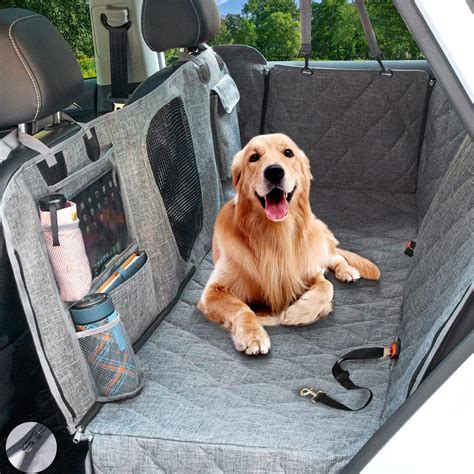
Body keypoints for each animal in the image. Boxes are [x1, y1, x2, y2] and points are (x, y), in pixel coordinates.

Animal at [198, 133, 380, 356]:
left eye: (288, 153)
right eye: (254, 157)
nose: (274, 172)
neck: (275, 235)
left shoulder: (311, 271)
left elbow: (326, 287)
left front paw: (298, 313)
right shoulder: (212, 291)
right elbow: (241, 308)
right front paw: (252, 335)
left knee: (335, 257)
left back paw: (347, 271)